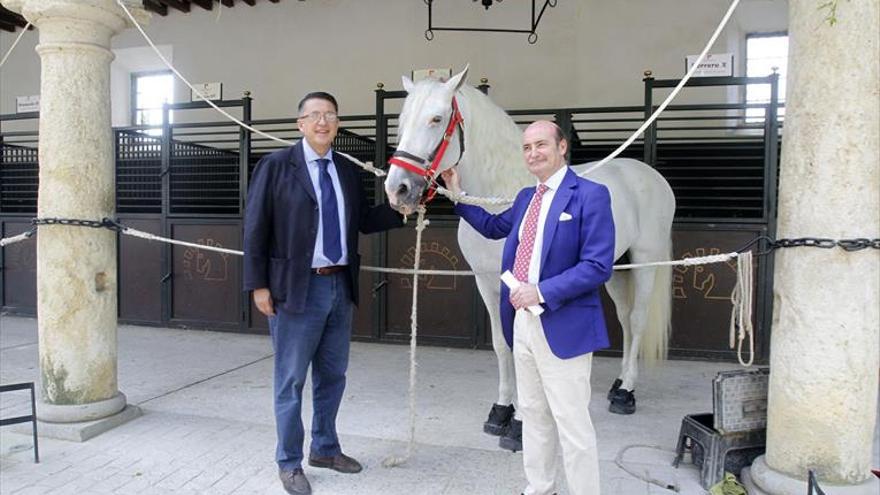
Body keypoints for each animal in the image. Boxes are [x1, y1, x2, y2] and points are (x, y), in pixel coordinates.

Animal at [384, 68, 672, 426]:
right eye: (403, 120)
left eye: (436, 119)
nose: (397, 189)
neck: (500, 195)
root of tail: (650, 175)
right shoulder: (486, 282)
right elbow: (501, 344)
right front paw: (501, 409)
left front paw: (521, 418)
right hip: (618, 269)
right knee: (625, 318)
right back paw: (619, 382)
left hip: (646, 263)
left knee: (638, 318)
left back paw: (626, 393)